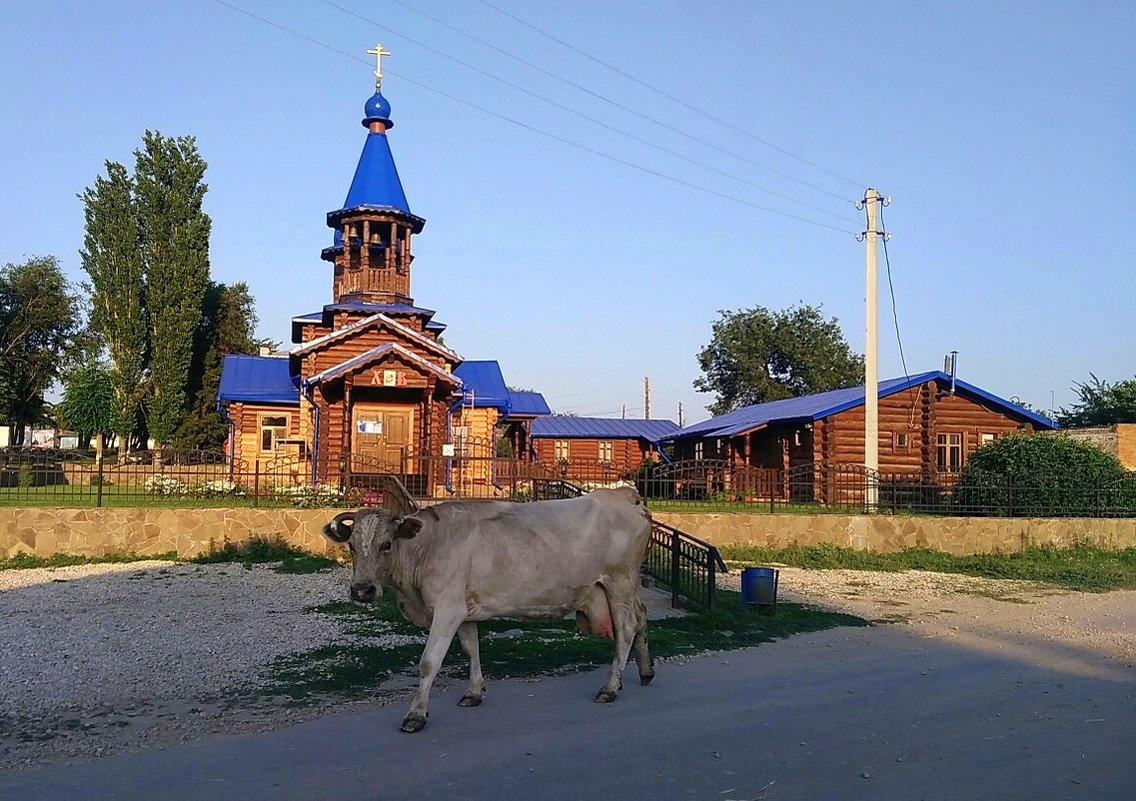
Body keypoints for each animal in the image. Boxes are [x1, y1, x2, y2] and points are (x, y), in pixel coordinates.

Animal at [322, 484, 658, 736]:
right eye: (352, 546)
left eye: (387, 544)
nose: (362, 590)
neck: (427, 546)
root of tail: (624, 494)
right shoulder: (463, 609)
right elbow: (471, 648)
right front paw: (473, 692)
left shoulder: (447, 609)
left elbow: (429, 662)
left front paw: (416, 714)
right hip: (623, 589)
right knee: (641, 615)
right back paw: (645, 671)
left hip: (619, 582)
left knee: (626, 629)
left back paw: (610, 688)